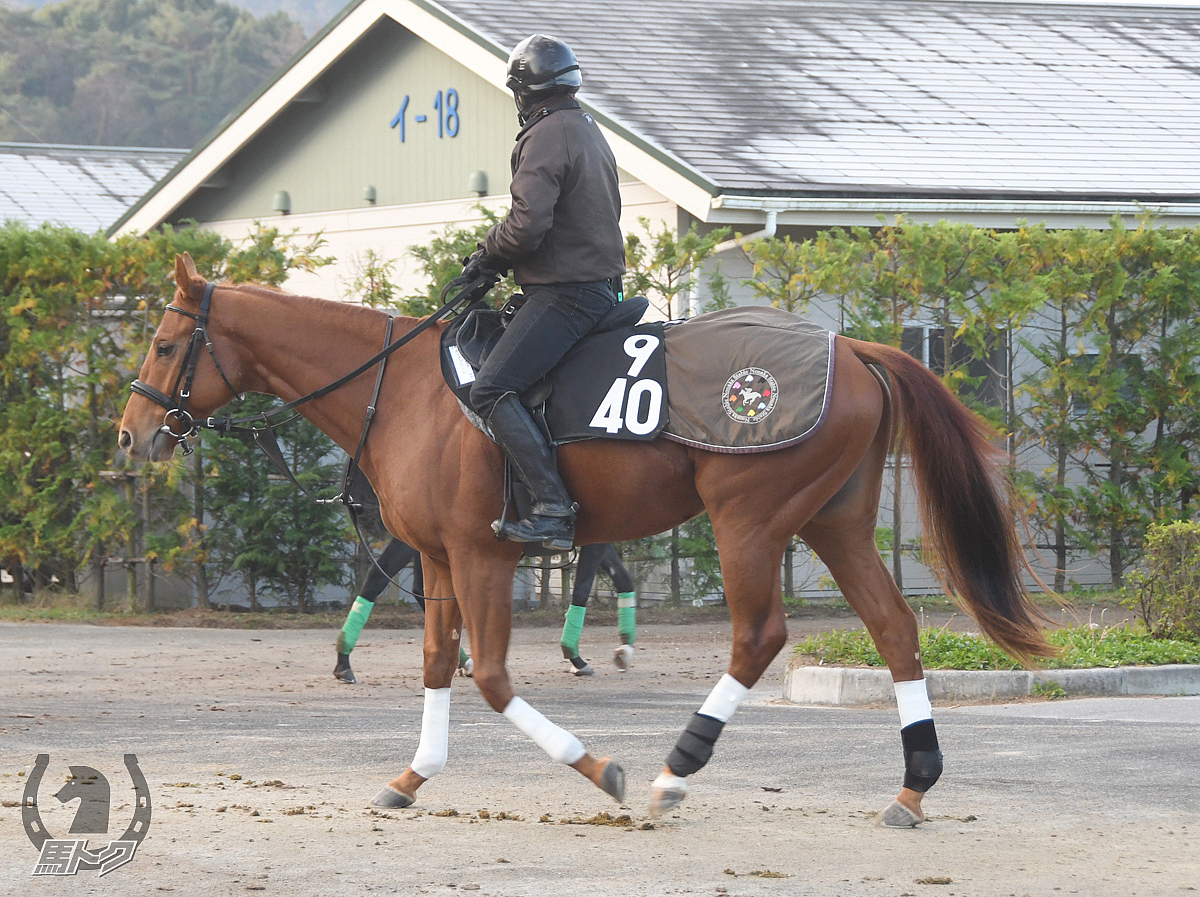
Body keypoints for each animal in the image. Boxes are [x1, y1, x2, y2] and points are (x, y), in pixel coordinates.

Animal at [117, 255, 1046, 825]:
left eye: (163, 343)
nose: (131, 436)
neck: (406, 388)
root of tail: (848, 345)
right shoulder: (441, 559)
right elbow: (439, 663)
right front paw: (413, 773)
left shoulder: (482, 555)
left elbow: (492, 678)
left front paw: (598, 766)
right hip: (834, 522)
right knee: (894, 627)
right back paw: (913, 785)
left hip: (748, 520)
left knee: (759, 635)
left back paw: (676, 767)